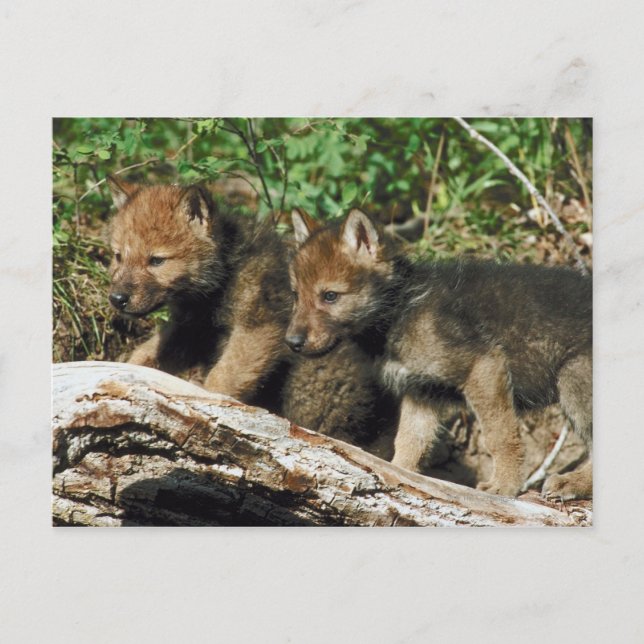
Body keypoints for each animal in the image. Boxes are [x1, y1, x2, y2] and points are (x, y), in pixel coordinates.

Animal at [286, 208, 592, 500]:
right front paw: (397, 478)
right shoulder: (421, 392)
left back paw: (573, 482)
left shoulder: (484, 367)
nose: (292, 342)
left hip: (573, 381)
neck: (399, 310)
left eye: (330, 296)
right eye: (296, 295)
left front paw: (506, 486)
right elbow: (409, 443)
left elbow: (500, 436)